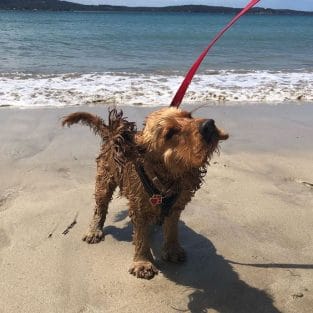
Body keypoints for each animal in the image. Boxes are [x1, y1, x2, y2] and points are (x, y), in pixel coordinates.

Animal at [61, 106, 227, 278]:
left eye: (189, 116)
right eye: (170, 132)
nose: (209, 124)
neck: (167, 176)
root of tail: (111, 132)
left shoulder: (175, 206)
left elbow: (172, 229)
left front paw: (173, 250)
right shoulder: (139, 206)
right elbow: (141, 236)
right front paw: (143, 263)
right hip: (104, 180)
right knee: (100, 206)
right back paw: (94, 230)